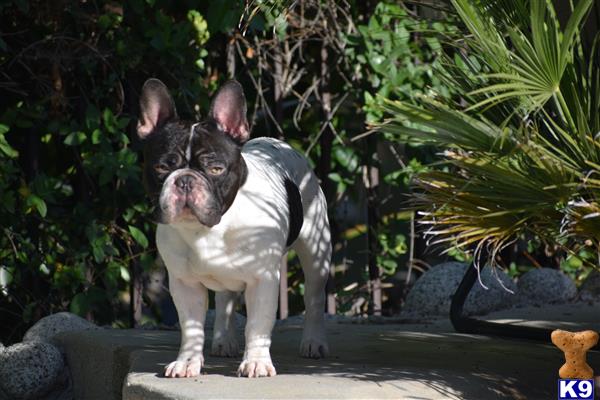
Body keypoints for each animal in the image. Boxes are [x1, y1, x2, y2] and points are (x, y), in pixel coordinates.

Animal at [136, 79, 330, 378]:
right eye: (161, 167)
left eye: (216, 169)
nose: (185, 180)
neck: (209, 229)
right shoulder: (184, 283)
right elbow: (191, 328)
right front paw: (187, 362)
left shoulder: (263, 279)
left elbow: (258, 325)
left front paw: (257, 362)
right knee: (225, 300)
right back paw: (223, 340)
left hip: (316, 251)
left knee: (314, 297)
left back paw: (313, 342)